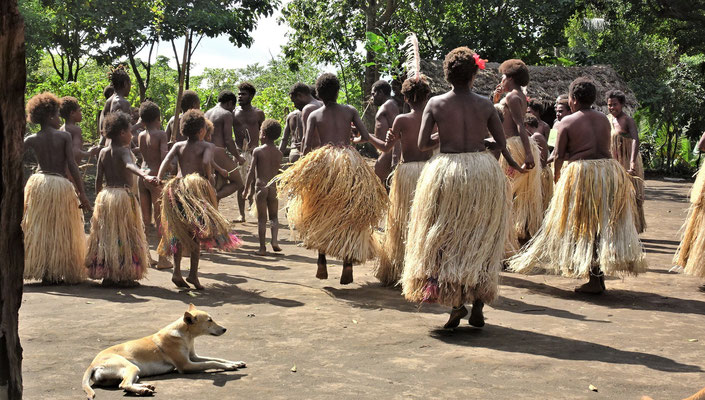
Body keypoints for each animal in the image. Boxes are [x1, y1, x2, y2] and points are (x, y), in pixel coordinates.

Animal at [81, 304, 242, 398]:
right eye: (209, 320)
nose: (225, 329)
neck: (186, 335)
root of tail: (92, 364)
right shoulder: (186, 365)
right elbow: (212, 363)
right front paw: (229, 367)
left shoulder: (193, 357)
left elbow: (217, 358)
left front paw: (235, 362)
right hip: (131, 367)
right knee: (124, 385)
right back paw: (143, 391)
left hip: (133, 373)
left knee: (124, 384)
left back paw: (146, 387)